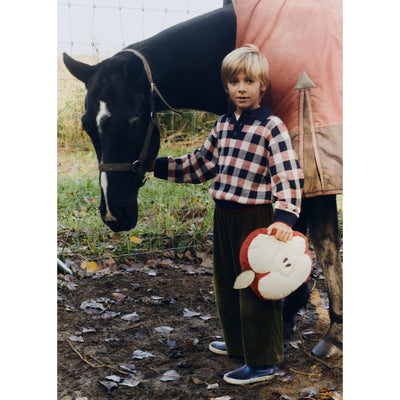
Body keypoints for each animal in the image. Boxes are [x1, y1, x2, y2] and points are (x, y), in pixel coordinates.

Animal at [62, 0, 340, 356]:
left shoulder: (309, 163)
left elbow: (322, 241)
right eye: (86, 124)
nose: (114, 213)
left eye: (134, 122)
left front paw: (325, 331)